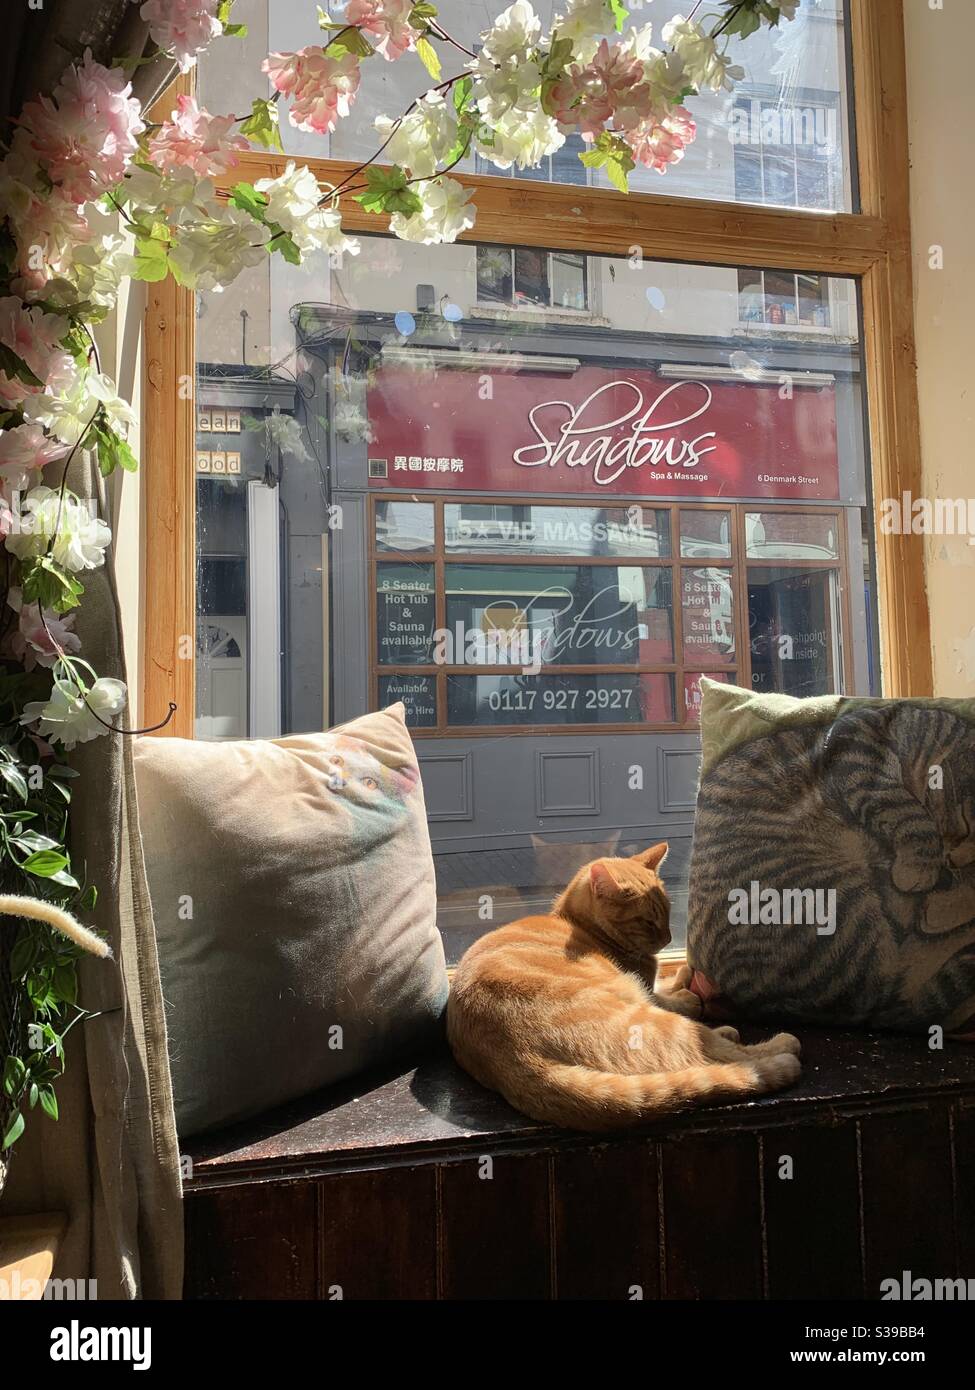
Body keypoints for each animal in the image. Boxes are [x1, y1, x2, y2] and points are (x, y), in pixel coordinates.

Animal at [445, 845, 801, 1128]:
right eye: (646, 920)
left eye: (668, 911)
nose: (668, 938)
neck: (578, 924)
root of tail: (516, 1060)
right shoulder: (648, 992)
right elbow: (674, 998)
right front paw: (687, 990)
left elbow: (667, 982)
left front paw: (682, 974)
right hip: (655, 1021)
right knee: (720, 1054)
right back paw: (776, 1044)